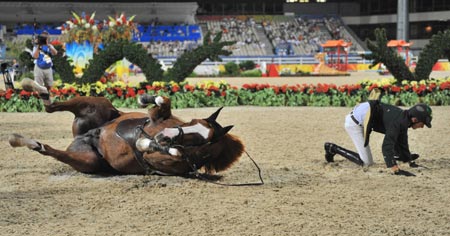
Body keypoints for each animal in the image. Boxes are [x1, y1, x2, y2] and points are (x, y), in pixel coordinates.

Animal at [8, 95, 244, 176]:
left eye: (202, 141)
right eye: (192, 122)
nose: (164, 136)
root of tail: (86, 137)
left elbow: (158, 150)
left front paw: (147, 142)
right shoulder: (157, 117)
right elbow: (163, 100)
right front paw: (144, 98)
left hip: (89, 161)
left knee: (48, 149)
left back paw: (24, 141)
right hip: (99, 103)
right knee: (52, 106)